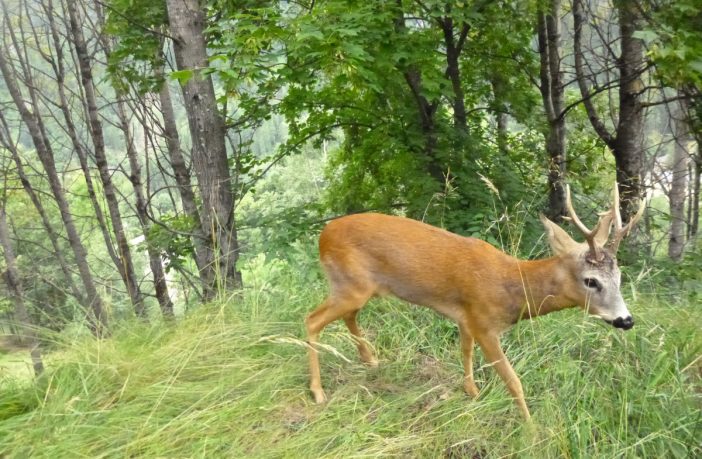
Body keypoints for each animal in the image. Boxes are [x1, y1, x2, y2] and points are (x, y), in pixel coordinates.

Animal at [306, 184, 648, 420]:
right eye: (591, 281)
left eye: (619, 276)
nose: (626, 320)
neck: (512, 287)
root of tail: (323, 235)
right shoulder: (484, 324)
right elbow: (513, 381)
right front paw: (530, 428)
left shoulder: (466, 317)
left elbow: (465, 351)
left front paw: (471, 391)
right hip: (350, 285)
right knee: (312, 320)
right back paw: (319, 392)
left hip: (360, 288)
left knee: (348, 316)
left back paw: (370, 360)